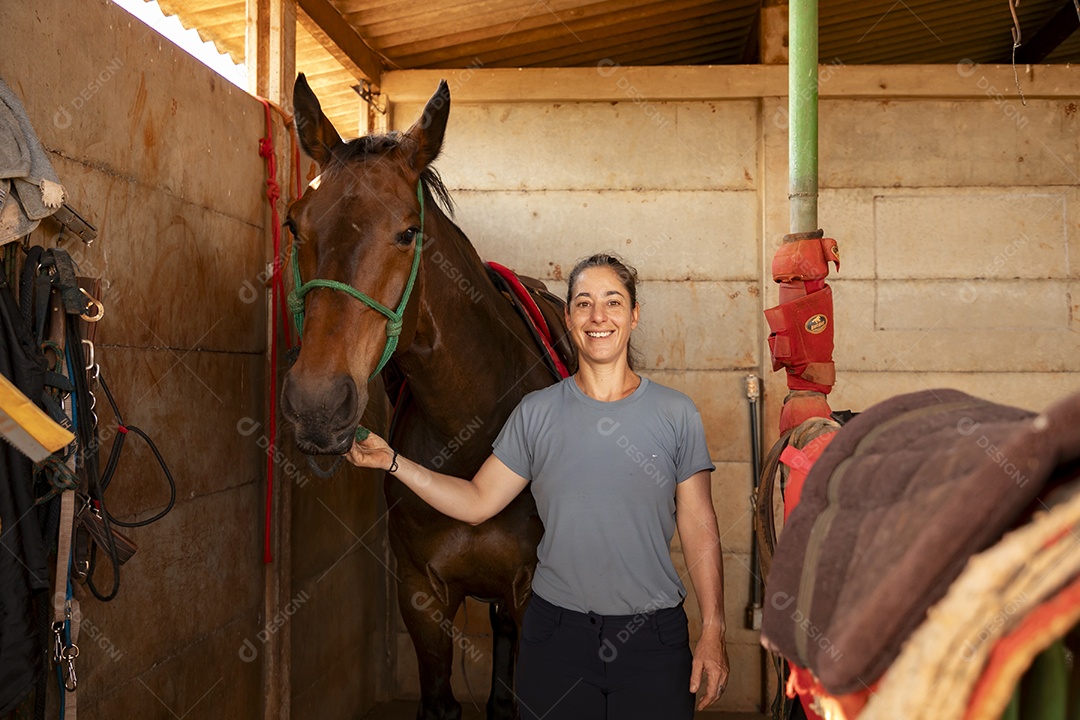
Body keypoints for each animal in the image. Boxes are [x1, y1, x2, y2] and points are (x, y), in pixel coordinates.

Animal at [280, 74, 565, 720]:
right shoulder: (420, 596)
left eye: (408, 232)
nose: (316, 404)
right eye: (293, 225)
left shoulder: (533, 593)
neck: (476, 437)